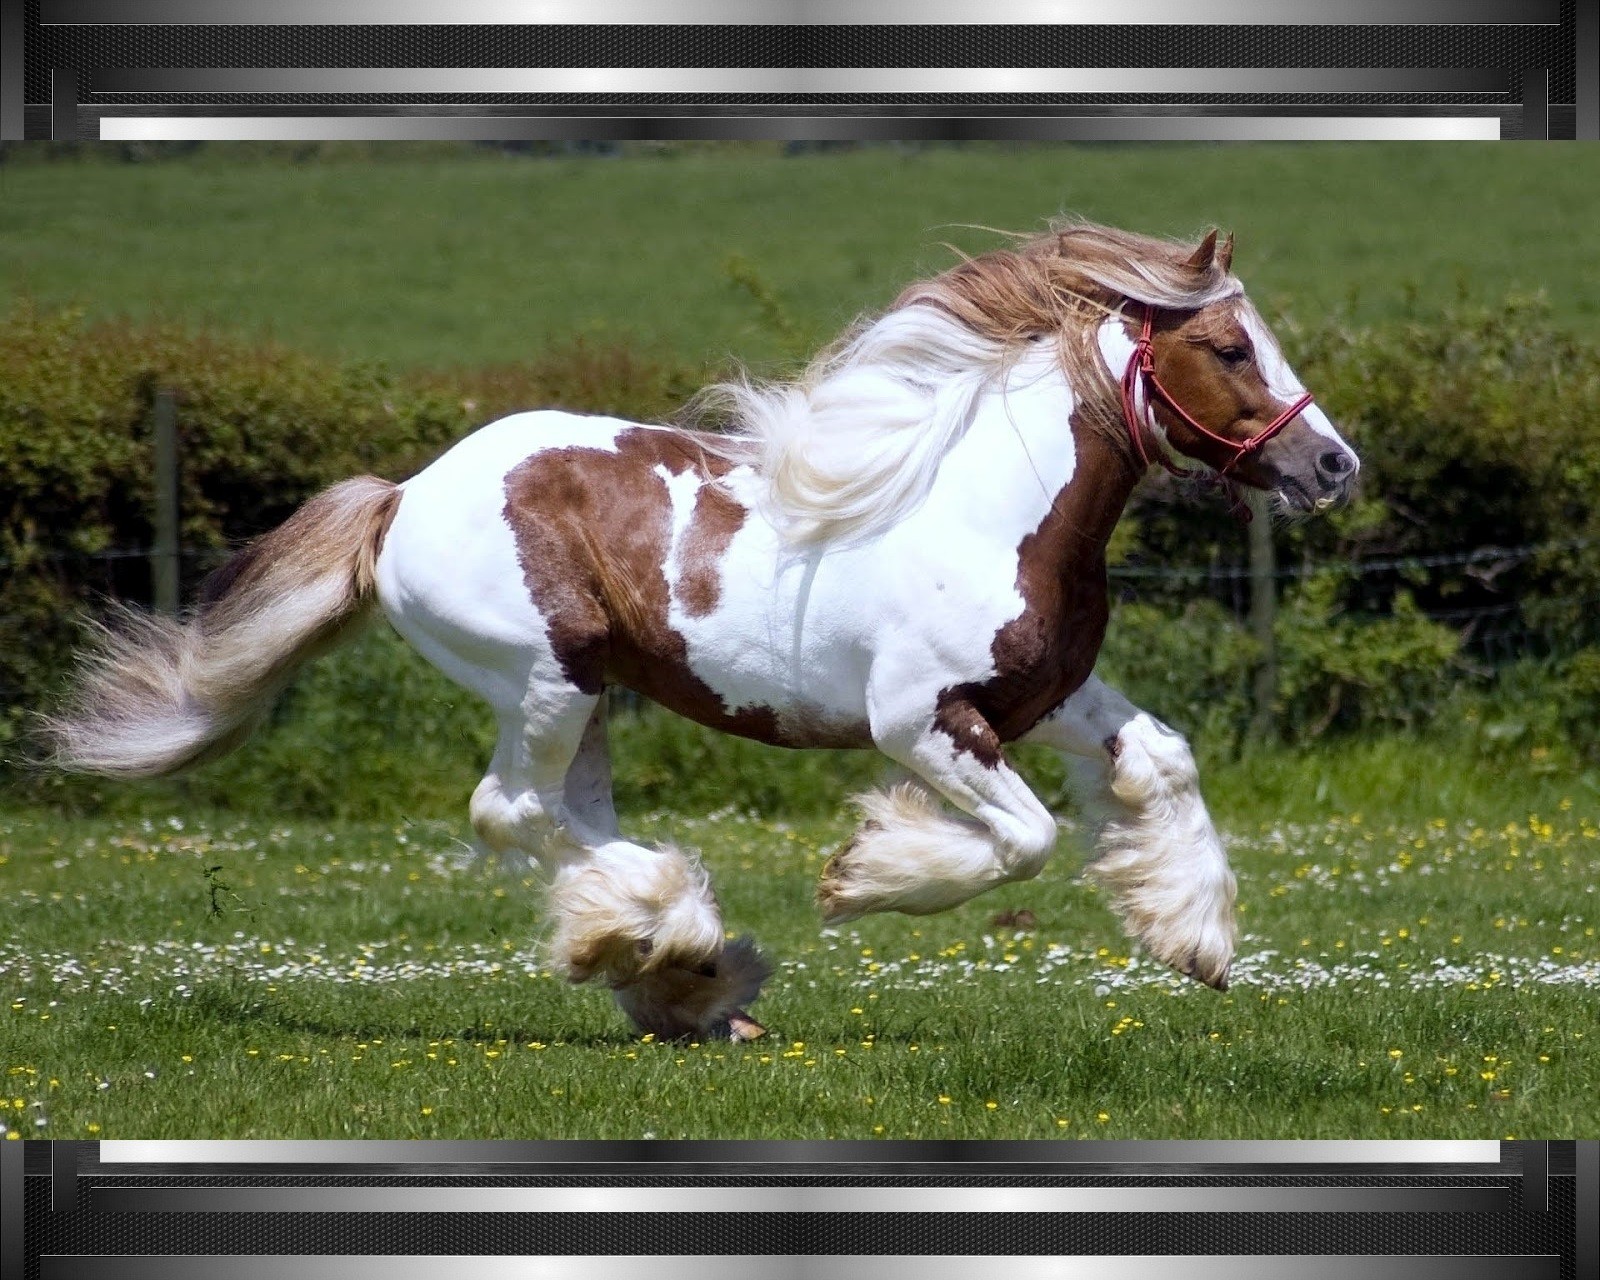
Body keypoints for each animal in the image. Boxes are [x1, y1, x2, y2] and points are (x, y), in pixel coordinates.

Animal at [43, 220, 1356, 1036]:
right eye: (1228, 345)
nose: (1333, 465)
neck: (986, 508)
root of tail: (405, 496)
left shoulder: (1048, 697)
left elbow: (1164, 761)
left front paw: (1194, 939)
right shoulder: (921, 722)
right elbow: (1024, 840)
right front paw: (862, 875)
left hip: (588, 700)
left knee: (563, 816)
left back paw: (682, 973)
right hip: (546, 678)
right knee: (511, 810)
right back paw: (675, 947)